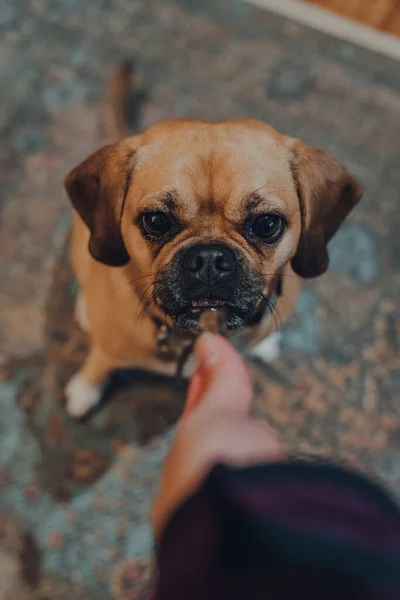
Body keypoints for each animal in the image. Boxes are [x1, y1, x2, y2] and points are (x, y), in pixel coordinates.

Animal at [63, 63, 362, 414]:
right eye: (156, 221)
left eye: (267, 224)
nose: (209, 259)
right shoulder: (109, 347)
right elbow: (99, 362)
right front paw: (85, 388)